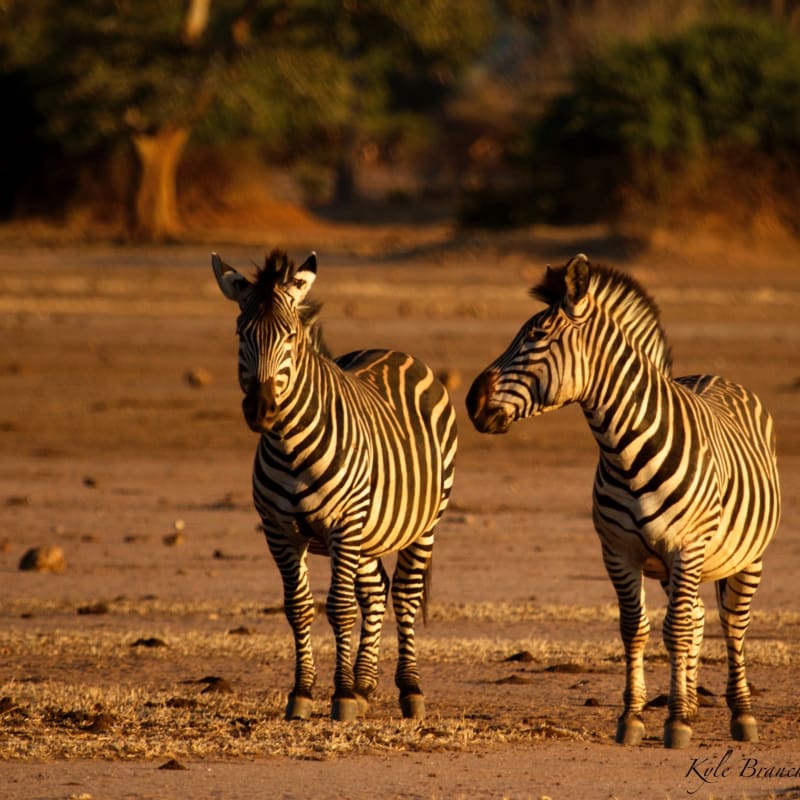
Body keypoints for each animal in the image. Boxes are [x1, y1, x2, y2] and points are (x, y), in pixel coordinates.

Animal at [212, 248, 457, 722]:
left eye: (290, 336)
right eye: (240, 332)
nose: (261, 409)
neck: (289, 445)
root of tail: (393, 351)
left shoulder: (343, 523)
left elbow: (340, 608)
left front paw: (340, 697)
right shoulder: (279, 530)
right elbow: (299, 609)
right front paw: (303, 693)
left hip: (423, 523)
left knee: (405, 595)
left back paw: (409, 690)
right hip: (368, 532)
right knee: (376, 591)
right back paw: (364, 685)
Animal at [466, 254, 780, 749]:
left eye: (536, 337)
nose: (470, 402)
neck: (624, 449)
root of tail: (713, 376)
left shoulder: (685, 548)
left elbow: (675, 630)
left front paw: (675, 723)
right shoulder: (617, 552)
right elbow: (636, 630)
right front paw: (635, 718)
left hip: (746, 557)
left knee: (732, 626)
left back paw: (741, 715)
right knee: (696, 618)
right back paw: (692, 702)